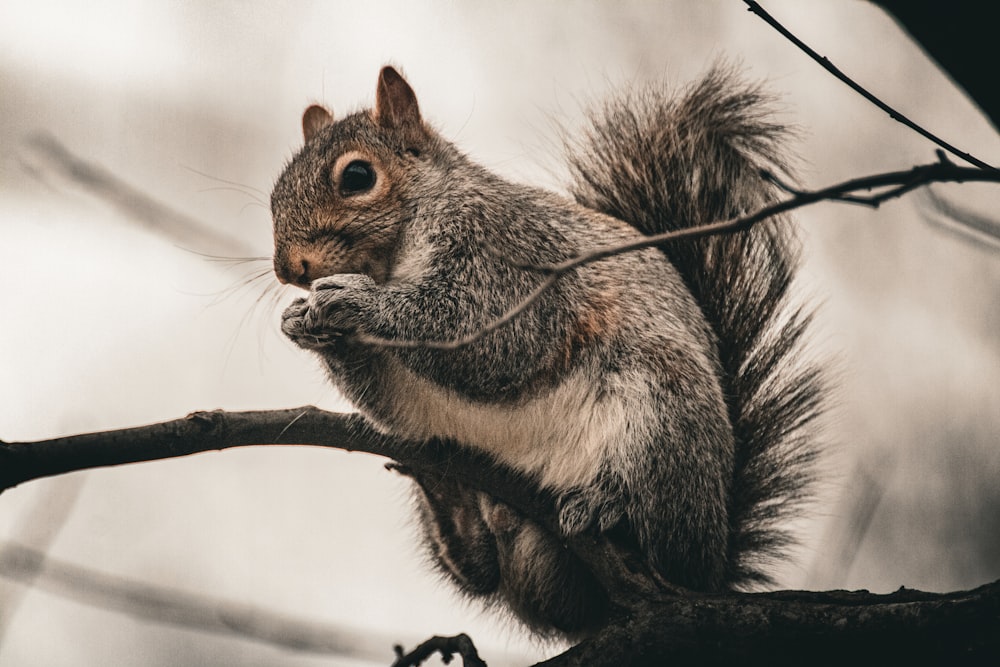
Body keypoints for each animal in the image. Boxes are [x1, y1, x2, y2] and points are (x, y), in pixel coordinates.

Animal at [272, 65, 820, 640]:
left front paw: (354, 299)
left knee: (662, 540)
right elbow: (394, 401)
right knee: (486, 573)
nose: (287, 269)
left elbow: (482, 336)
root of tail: (711, 569)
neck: (397, 253)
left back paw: (609, 506)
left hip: (664, 411)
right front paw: (303, 323)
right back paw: (448, 495)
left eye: (357, 176)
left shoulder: (511, 260)